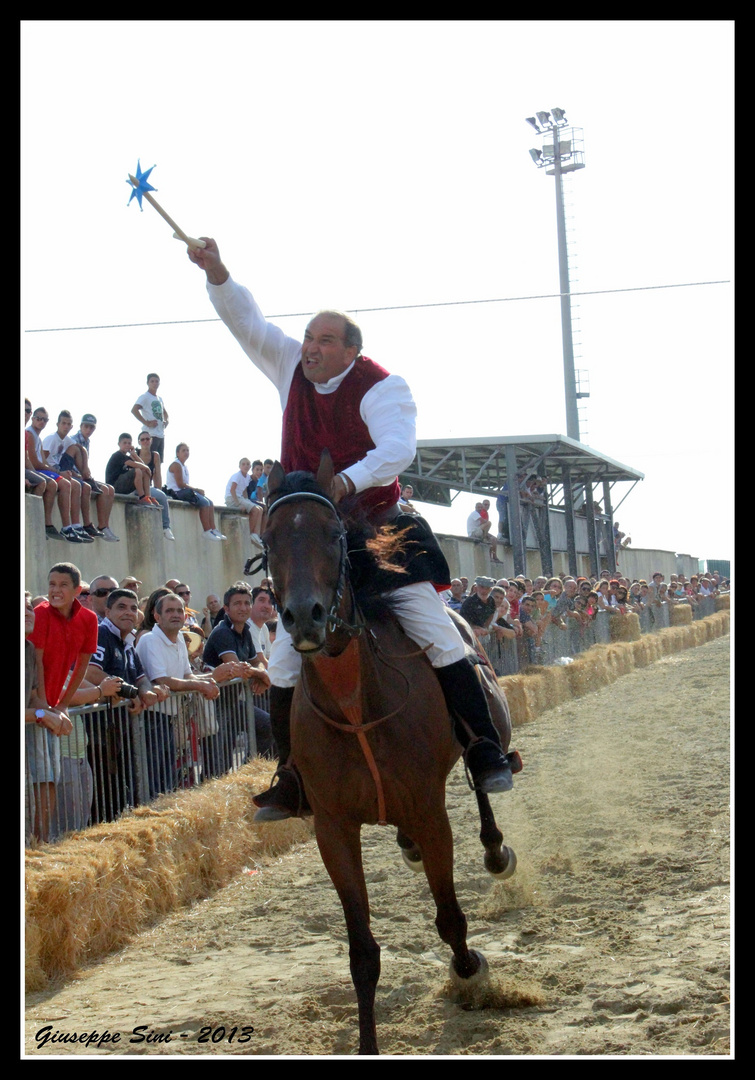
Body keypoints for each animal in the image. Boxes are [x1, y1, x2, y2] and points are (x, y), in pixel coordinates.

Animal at [262, 455, 516, 1054]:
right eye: (269, 537)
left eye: (333, 535)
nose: (304, 617)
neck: (356, 702)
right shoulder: (333, 828)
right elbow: (362, 953)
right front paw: (367, 1042)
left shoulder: (430, 811)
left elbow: (449, 917)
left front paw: (470, 970)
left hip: (489, 733)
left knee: (482, 776)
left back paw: (495, 845)